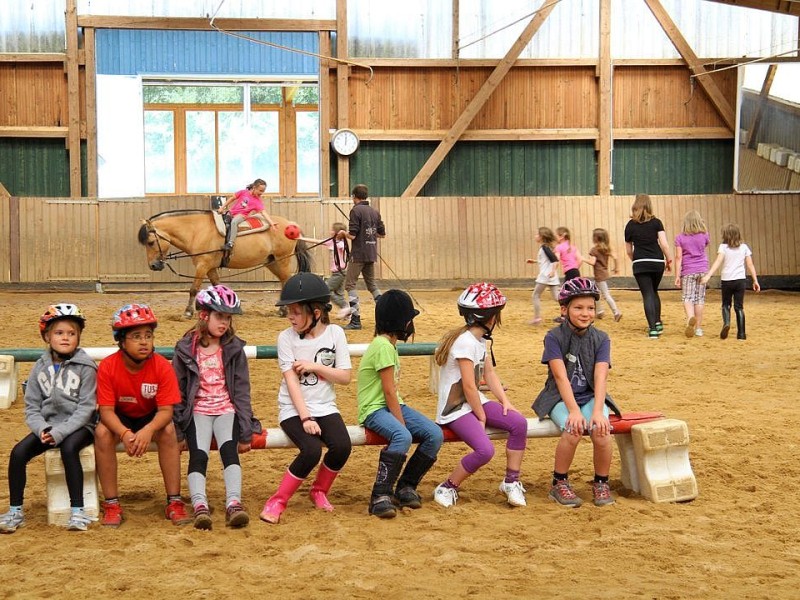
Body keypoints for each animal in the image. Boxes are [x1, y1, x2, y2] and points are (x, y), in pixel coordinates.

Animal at [138, 209, 312, 316]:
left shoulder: (203, 265)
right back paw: (282, 309)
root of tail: (291, 224)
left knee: (287, 280)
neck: (197, 230)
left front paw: (188, 312)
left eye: (151, 242)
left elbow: (193, 289)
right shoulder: (210, 267)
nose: (153, 265)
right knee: (284, 280)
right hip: (273, 262)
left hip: (283, 260)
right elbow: (218, 286)